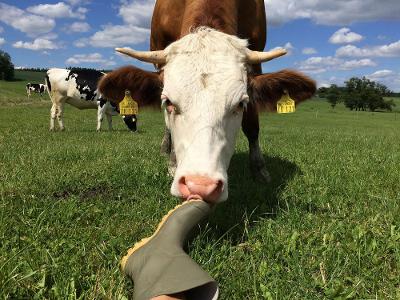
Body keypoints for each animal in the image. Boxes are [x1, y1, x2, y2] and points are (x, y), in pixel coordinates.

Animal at [98, 0, 318, 204]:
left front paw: (259, 170)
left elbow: (252, 126)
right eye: (168, 102)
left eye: (241, 104)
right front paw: (173, 163)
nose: (200, 185)